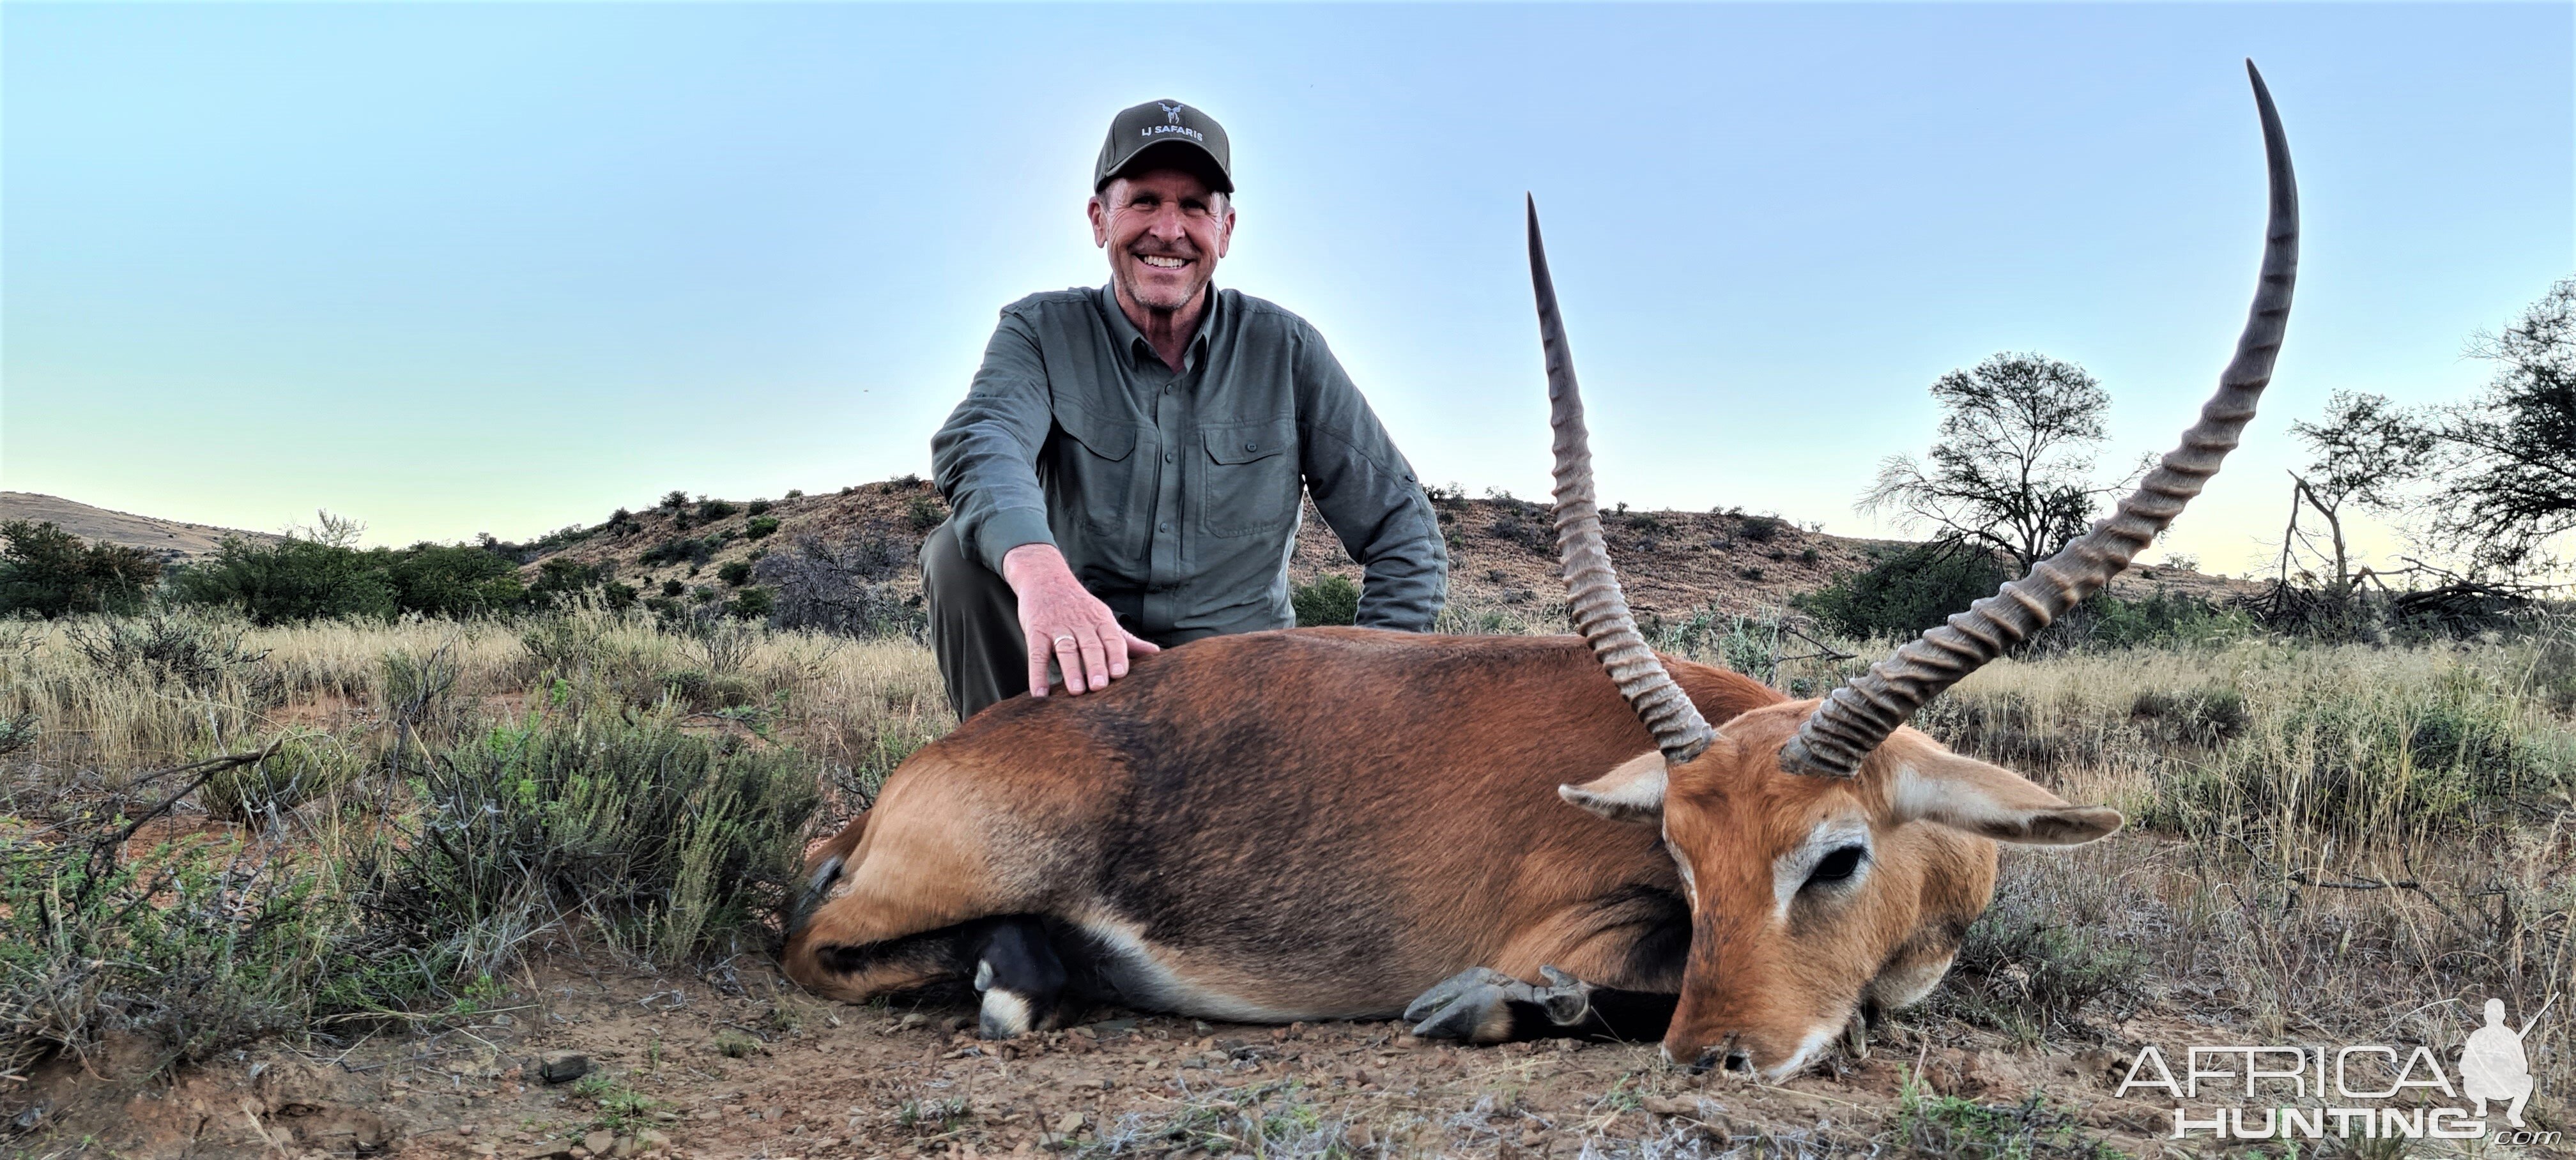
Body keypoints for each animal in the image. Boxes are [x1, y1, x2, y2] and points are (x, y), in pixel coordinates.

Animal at [783, 63, 2297, 1077]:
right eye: (1677, 851)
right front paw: (1510, 1008)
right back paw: (1015, 978)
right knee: (816, 943)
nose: (1715, 1053)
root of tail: (920, 776)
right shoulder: (1568, 926)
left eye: (1836, 855)